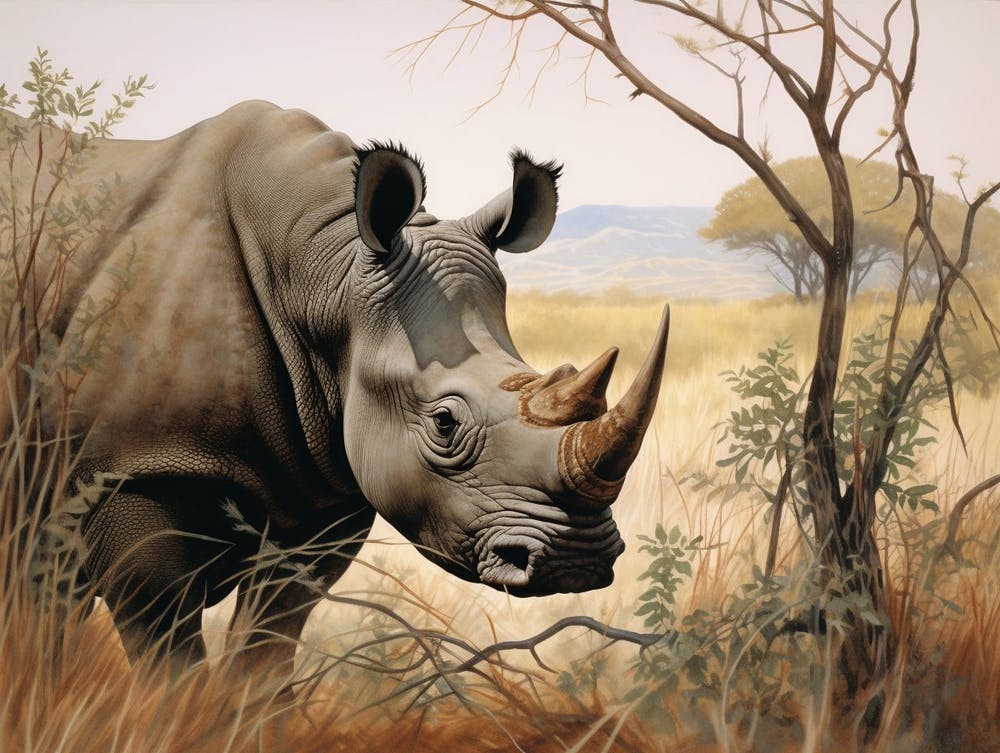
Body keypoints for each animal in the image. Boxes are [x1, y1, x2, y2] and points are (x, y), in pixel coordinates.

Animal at [8, 102, 669, 676]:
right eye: (445, 423)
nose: (577, 561)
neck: (326, 273)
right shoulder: (130, 466)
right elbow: (169, 652)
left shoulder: (321, 491)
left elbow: (266, 651)